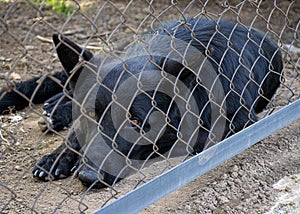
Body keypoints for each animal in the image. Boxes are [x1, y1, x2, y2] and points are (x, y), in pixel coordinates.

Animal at [0, 18, 282, 189]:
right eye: (91, 115)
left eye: (135, 122)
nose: (88, 177)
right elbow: (76, 134)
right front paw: (57, 156)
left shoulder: (240, 123)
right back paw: (56, 107)